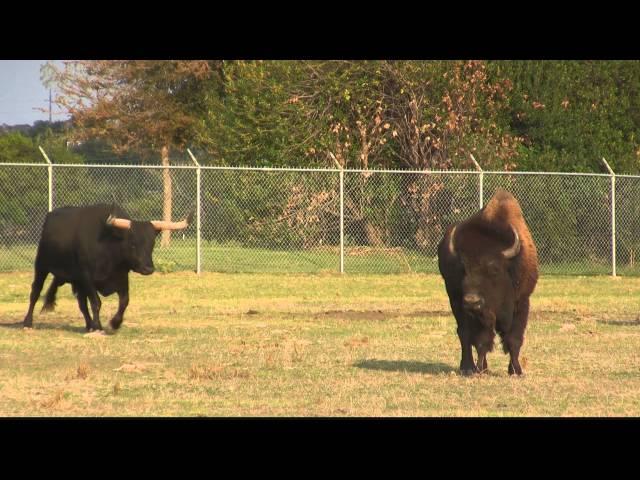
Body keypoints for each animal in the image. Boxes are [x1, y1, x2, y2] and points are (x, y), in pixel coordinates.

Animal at [23, 203, 192, 334]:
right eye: (132, 243)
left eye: (152, 244)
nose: (148, 268)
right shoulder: (87, 278)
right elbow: (96, 302)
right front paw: (99, 326)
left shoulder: (121, 278)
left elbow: (124, 301)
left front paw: (114, 323)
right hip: (41, 266)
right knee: (35, 292)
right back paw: (27, 322)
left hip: (76, 282)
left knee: (82, 304)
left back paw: (88, 325)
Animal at [438, 189, 536, 376]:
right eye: (463, 269)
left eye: (494, 269)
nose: (472, 301)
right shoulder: (481, 314)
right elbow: (482, 341)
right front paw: (479, 369)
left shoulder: (522, 302)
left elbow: (514, 339)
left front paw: (516, 371)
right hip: (455, 300)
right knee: (464, 334)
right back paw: (468, 367)